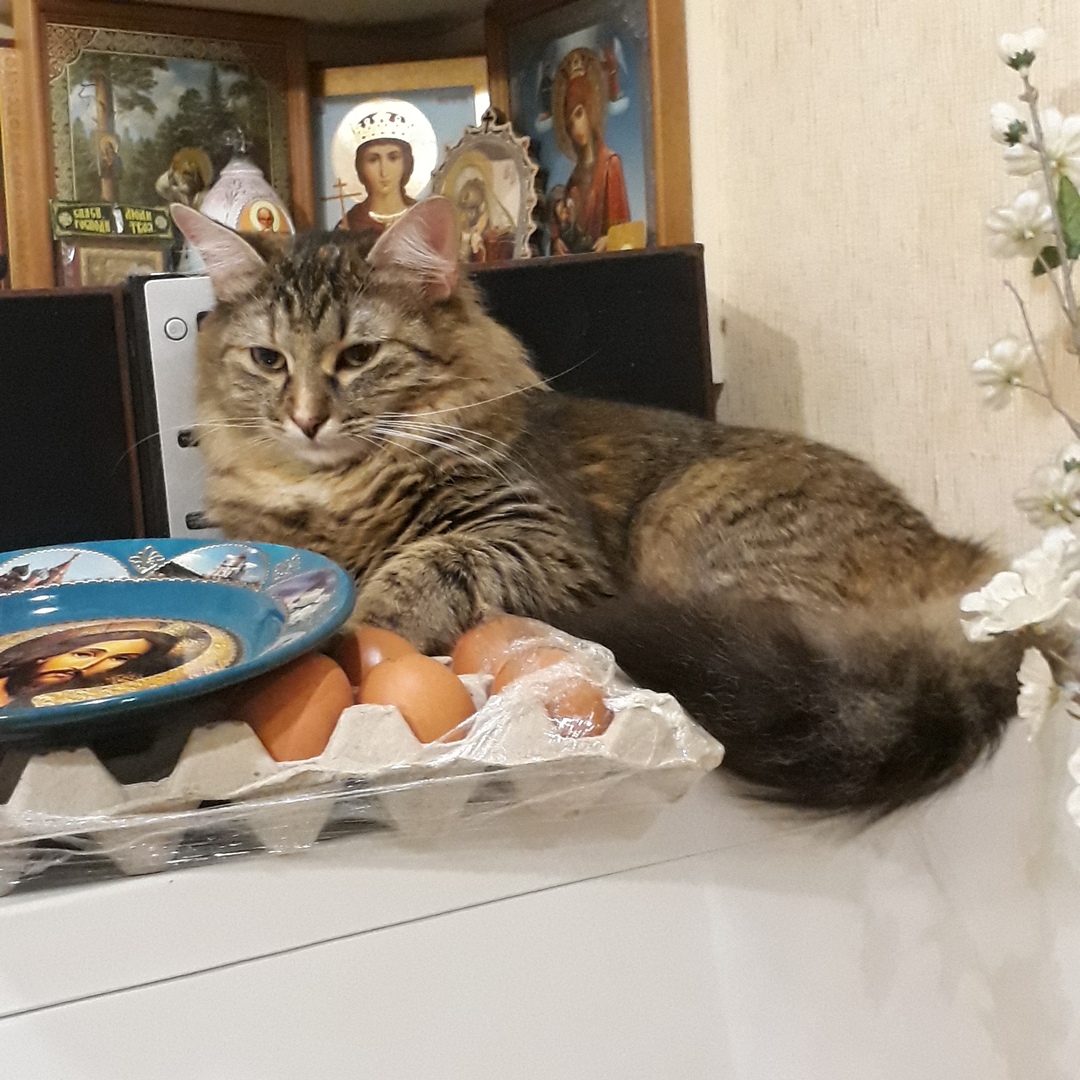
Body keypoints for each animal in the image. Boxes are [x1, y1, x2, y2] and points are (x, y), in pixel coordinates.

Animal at [173, 197, 1039, 816]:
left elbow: (421, 567)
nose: (306, 418)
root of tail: (969, 576)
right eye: (268, 360)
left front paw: (356, 639)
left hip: (697, 537)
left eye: (357, 356)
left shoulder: (539, 540)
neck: (336, 490)